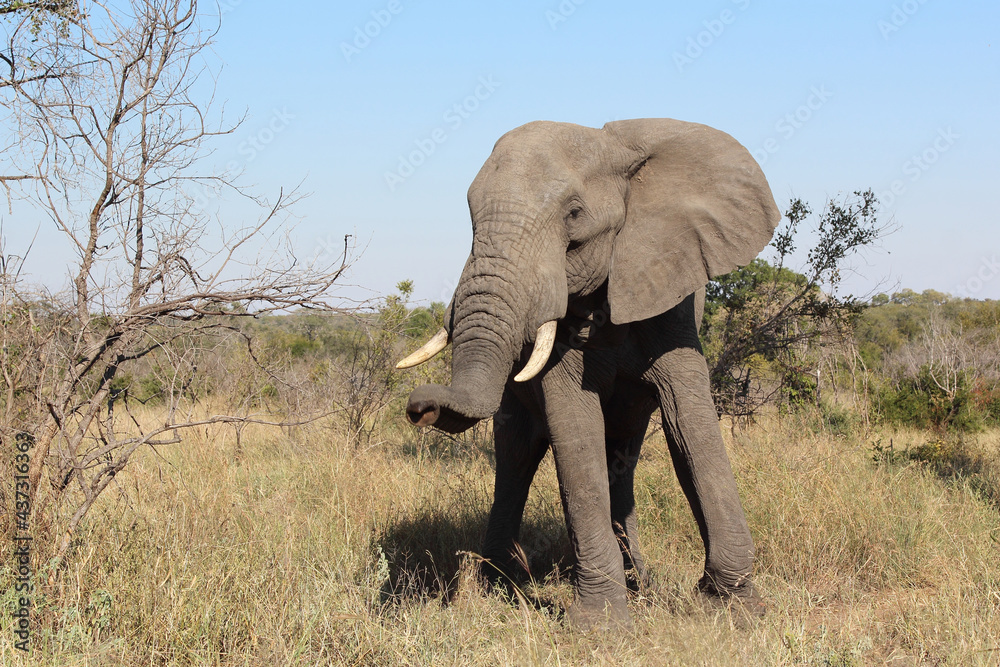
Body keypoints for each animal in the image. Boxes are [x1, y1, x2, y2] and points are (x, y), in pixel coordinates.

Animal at [395, 118, 780, 630]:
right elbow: (574, 429)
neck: (615, 147)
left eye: (574, 216)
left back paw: (639, 582)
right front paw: (601, 626)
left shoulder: (669, 292)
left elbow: (689, 424)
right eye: (471, 219)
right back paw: (500, 584)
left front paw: (736, 607)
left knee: (621, 457)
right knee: (517, 456)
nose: (420, 406)